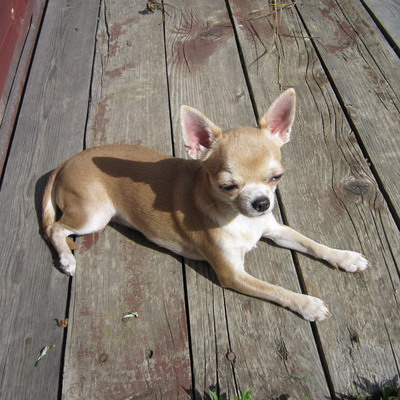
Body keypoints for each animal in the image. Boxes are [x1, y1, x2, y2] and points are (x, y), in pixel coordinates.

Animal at [42, 89, 368, 321]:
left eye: (276, 178)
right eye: (228, 186)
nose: (261, 202)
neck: (239, 218)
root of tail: (64, 162)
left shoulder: (274, 229)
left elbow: (312, 243)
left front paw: (345, 257)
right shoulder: (232, 274)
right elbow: (276, 290)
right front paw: (308, 304)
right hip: (94, 215)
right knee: (55, 228)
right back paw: (67, 259)